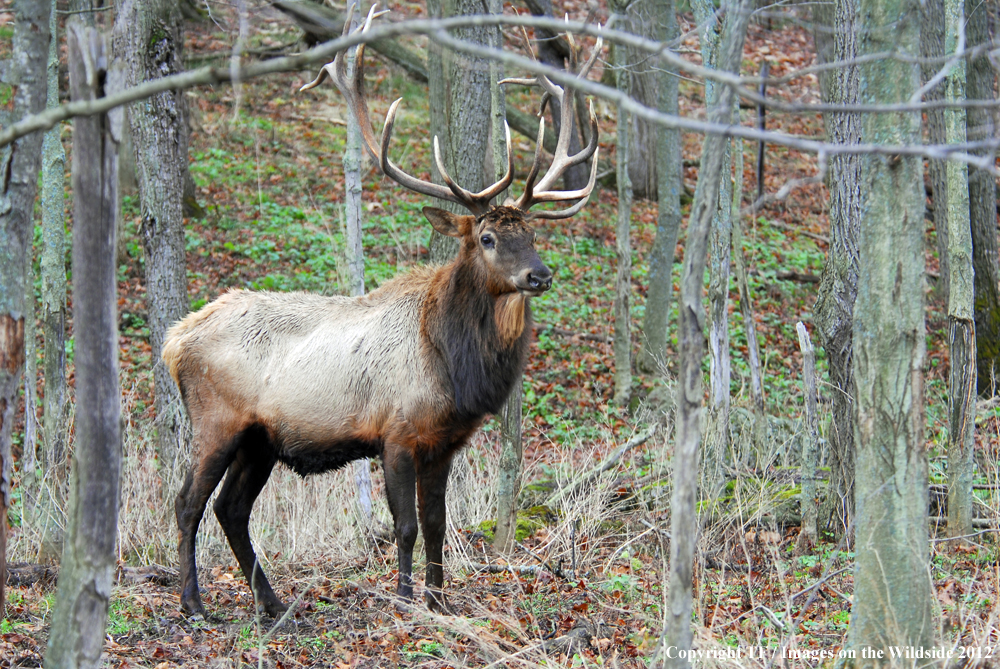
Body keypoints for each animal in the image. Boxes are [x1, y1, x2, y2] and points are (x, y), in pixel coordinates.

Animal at [165, 7, 600, 620]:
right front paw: (404, 598)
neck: (452, 364)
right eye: (487, 237)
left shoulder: (445, 441)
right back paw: (194, 603)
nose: (540, 275)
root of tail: (174, 340)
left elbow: (440, 524)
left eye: (533, 235)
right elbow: (407, 526)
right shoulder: (396, 431)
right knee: (188, 502)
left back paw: (273, 603)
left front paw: (441, 601)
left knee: (232, 508)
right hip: (216, 419)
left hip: (260, 438)